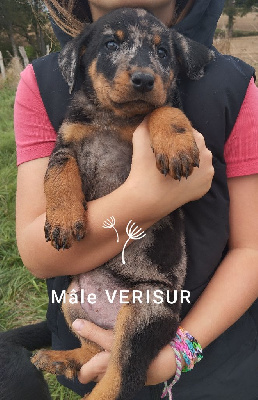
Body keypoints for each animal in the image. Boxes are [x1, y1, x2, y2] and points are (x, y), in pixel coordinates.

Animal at [31, 7, 214, 400]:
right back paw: (60, 358)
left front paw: (175, 146)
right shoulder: (66, 143)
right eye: (111, 44)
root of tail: (109, 315)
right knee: (95, 351)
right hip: (73, 300)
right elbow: (57, 174)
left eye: (163, 52)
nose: (144, 79)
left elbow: (163, 111)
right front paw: (63, 219)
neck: (112, 117)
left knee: (122, 373)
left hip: (145, 309)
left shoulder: (161, 107)